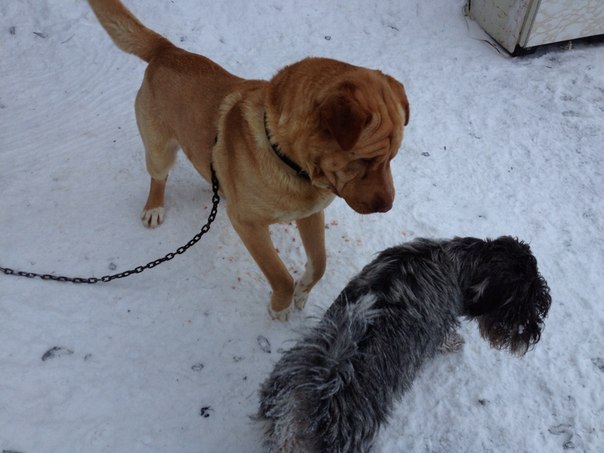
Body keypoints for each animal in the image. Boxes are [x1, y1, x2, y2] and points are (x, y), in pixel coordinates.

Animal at [87, 0, 410, 320]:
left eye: (392, 158)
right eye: (365, 160)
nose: (388, 206)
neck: (290, 163)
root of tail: (168, 50)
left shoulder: (310, 214)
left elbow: (319, 262)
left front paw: (303, 290)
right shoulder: (248, 225)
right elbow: (280, 275)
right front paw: (280, 306)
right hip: (159, 151)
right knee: (158, 176)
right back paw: (155, 205)